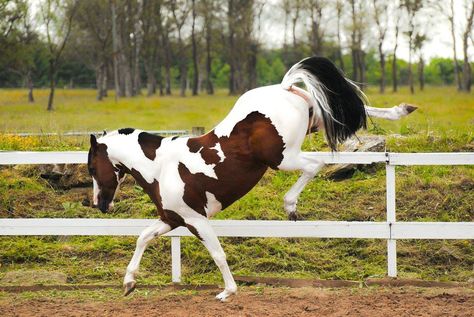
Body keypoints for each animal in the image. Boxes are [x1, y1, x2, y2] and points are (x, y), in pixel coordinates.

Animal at [88, 55, 414, 300]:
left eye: (91, 168)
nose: (99, 204)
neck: (161, 167)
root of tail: (284, 87)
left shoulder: (196, 220)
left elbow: (217, 253)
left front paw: (228, 292)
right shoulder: (172, 219)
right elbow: (143, 237)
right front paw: (129, 283)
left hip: (284, 158)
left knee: (315, 163)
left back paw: (291, 207)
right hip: (314, 121)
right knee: (342, 110)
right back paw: (402, 109)